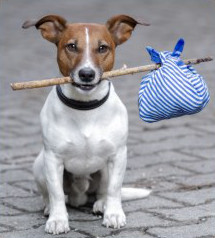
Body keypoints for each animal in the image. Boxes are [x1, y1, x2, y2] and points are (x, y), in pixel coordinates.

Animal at [22, 13, 150, 234]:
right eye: (72, 46)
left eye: (103, 48)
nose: (87, 74)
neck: (85, 107)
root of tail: (79, 196)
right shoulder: (52, 159)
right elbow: (56, 193)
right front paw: (58, 219)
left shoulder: (118, 155)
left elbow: (114, 188)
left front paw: (114, 214)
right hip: (39, 165)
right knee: (51, 195)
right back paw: (49, 208)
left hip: (104, 168)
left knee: (102, 192)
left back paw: (101, 205)